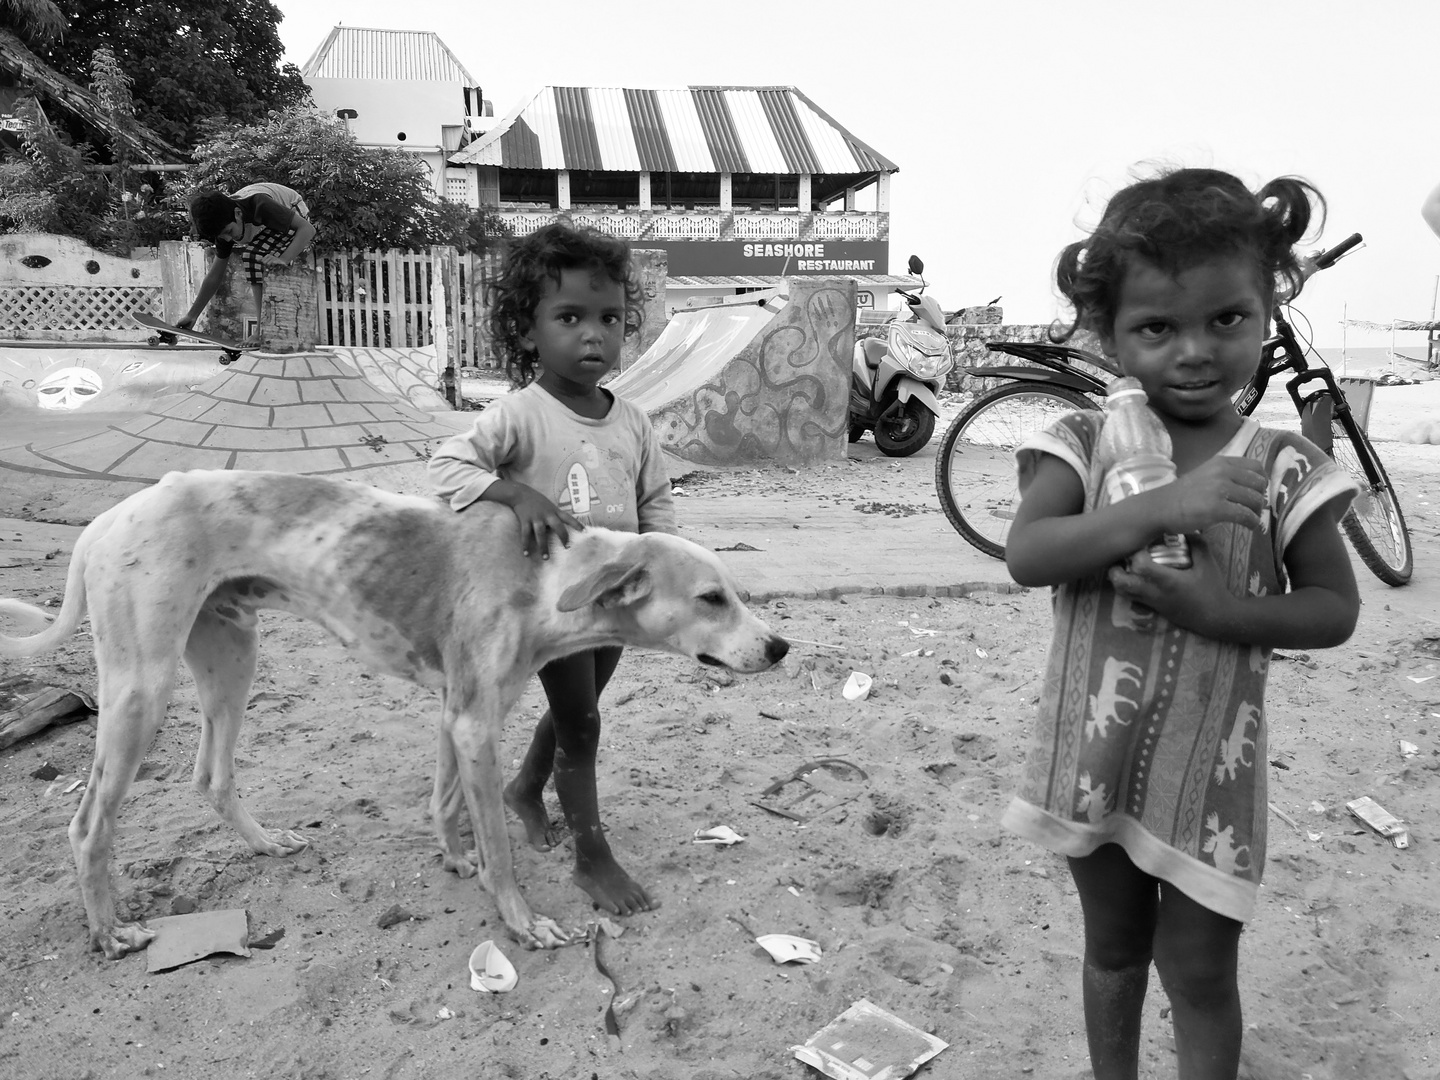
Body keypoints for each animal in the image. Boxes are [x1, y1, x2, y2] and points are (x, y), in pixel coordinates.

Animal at [0, 469, 789, 961]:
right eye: (711, 598)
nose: (780, 647)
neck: (548, 579)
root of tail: (106, 520)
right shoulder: (472, 723)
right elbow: (501, 846)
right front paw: (522, 923)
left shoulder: (461, 713)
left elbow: (446, 803)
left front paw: (456, 860)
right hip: (141, 688)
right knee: (88, 826)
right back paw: (110, 934)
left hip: (231, 657)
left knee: (212, 778)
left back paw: (266, 844)